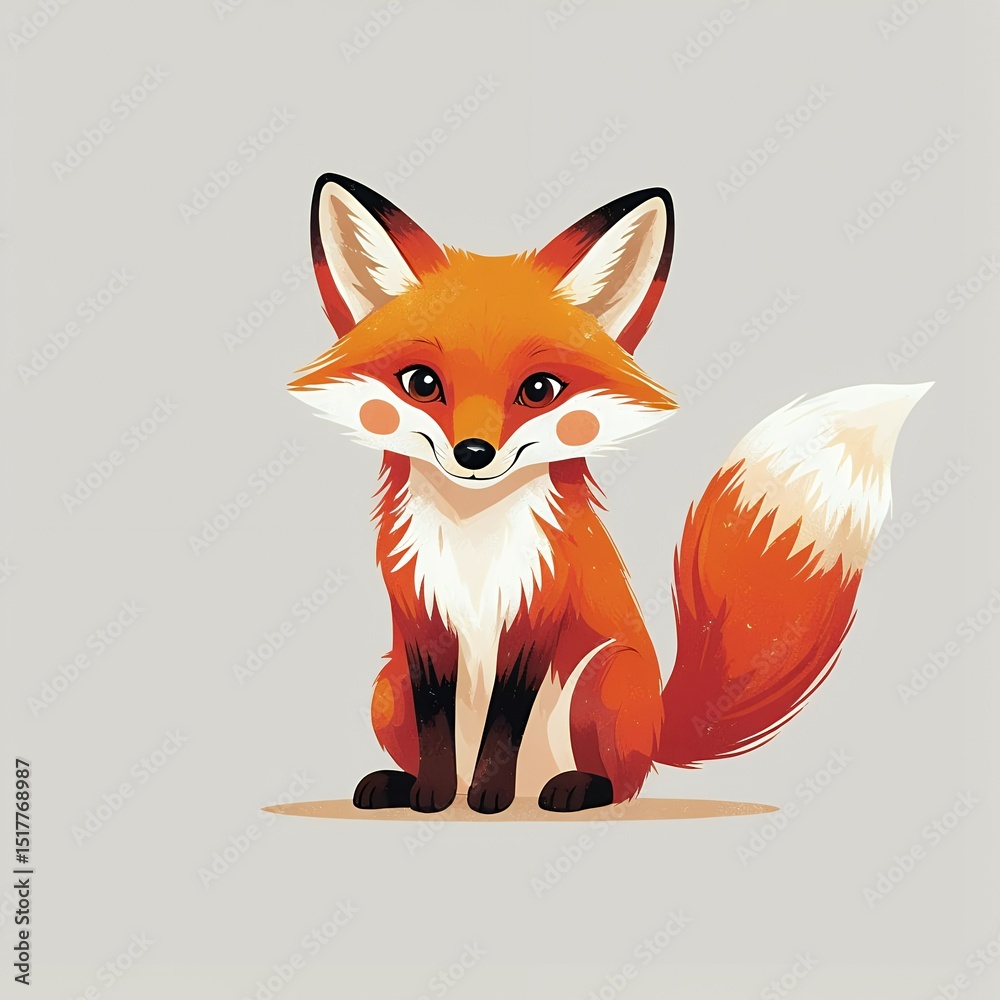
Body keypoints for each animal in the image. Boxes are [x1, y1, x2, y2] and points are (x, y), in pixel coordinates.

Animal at [287, 173, 930, 814]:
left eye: (539, 389)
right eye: (422, 382)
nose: (474, 454)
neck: (477, 539)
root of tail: (661, 721)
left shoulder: (538, 610)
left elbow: (505, 720)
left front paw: (489, 793)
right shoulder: (420, 619)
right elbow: (434, 727)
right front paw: (434, 794)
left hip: (606, 679)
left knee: (623, 783)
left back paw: (571, 788)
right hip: (386, 686)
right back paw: (400, 783)